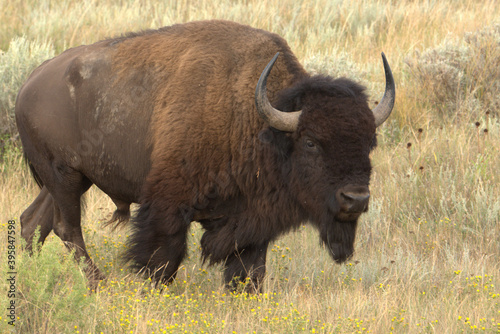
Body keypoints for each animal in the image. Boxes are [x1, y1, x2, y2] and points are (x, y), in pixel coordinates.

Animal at [16, 20, 394, 292]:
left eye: (370, 142)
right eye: (311, 142)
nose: (356, 199)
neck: (255, 118)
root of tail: (29, 83)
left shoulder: (253, 222)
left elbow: (249, 273)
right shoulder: (167, 207)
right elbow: (161, 261)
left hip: (68, 181)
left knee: (33, 222)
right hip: (64, 176)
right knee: (67, 227)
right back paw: (98, 285)